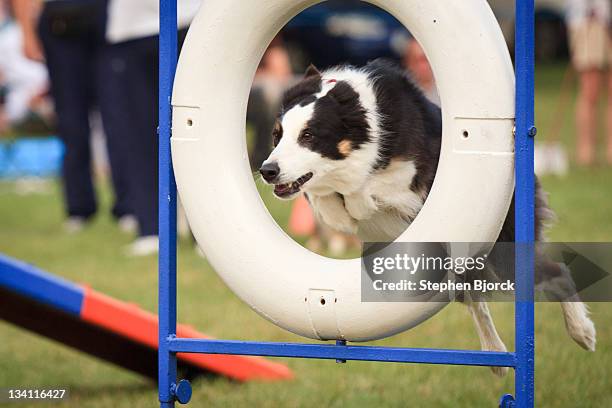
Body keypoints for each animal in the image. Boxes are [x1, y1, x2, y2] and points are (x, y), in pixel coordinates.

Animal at [260, 60, 596, 376]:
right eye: (277, 135)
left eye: (308, 135)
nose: (267, 170)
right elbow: (330, 203)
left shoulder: (413, 174)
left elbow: (368, 186)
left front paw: (359, 196)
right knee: (476, 297)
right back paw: (496, 354)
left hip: (502, 250)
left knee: (557, 271)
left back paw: (582, 332)